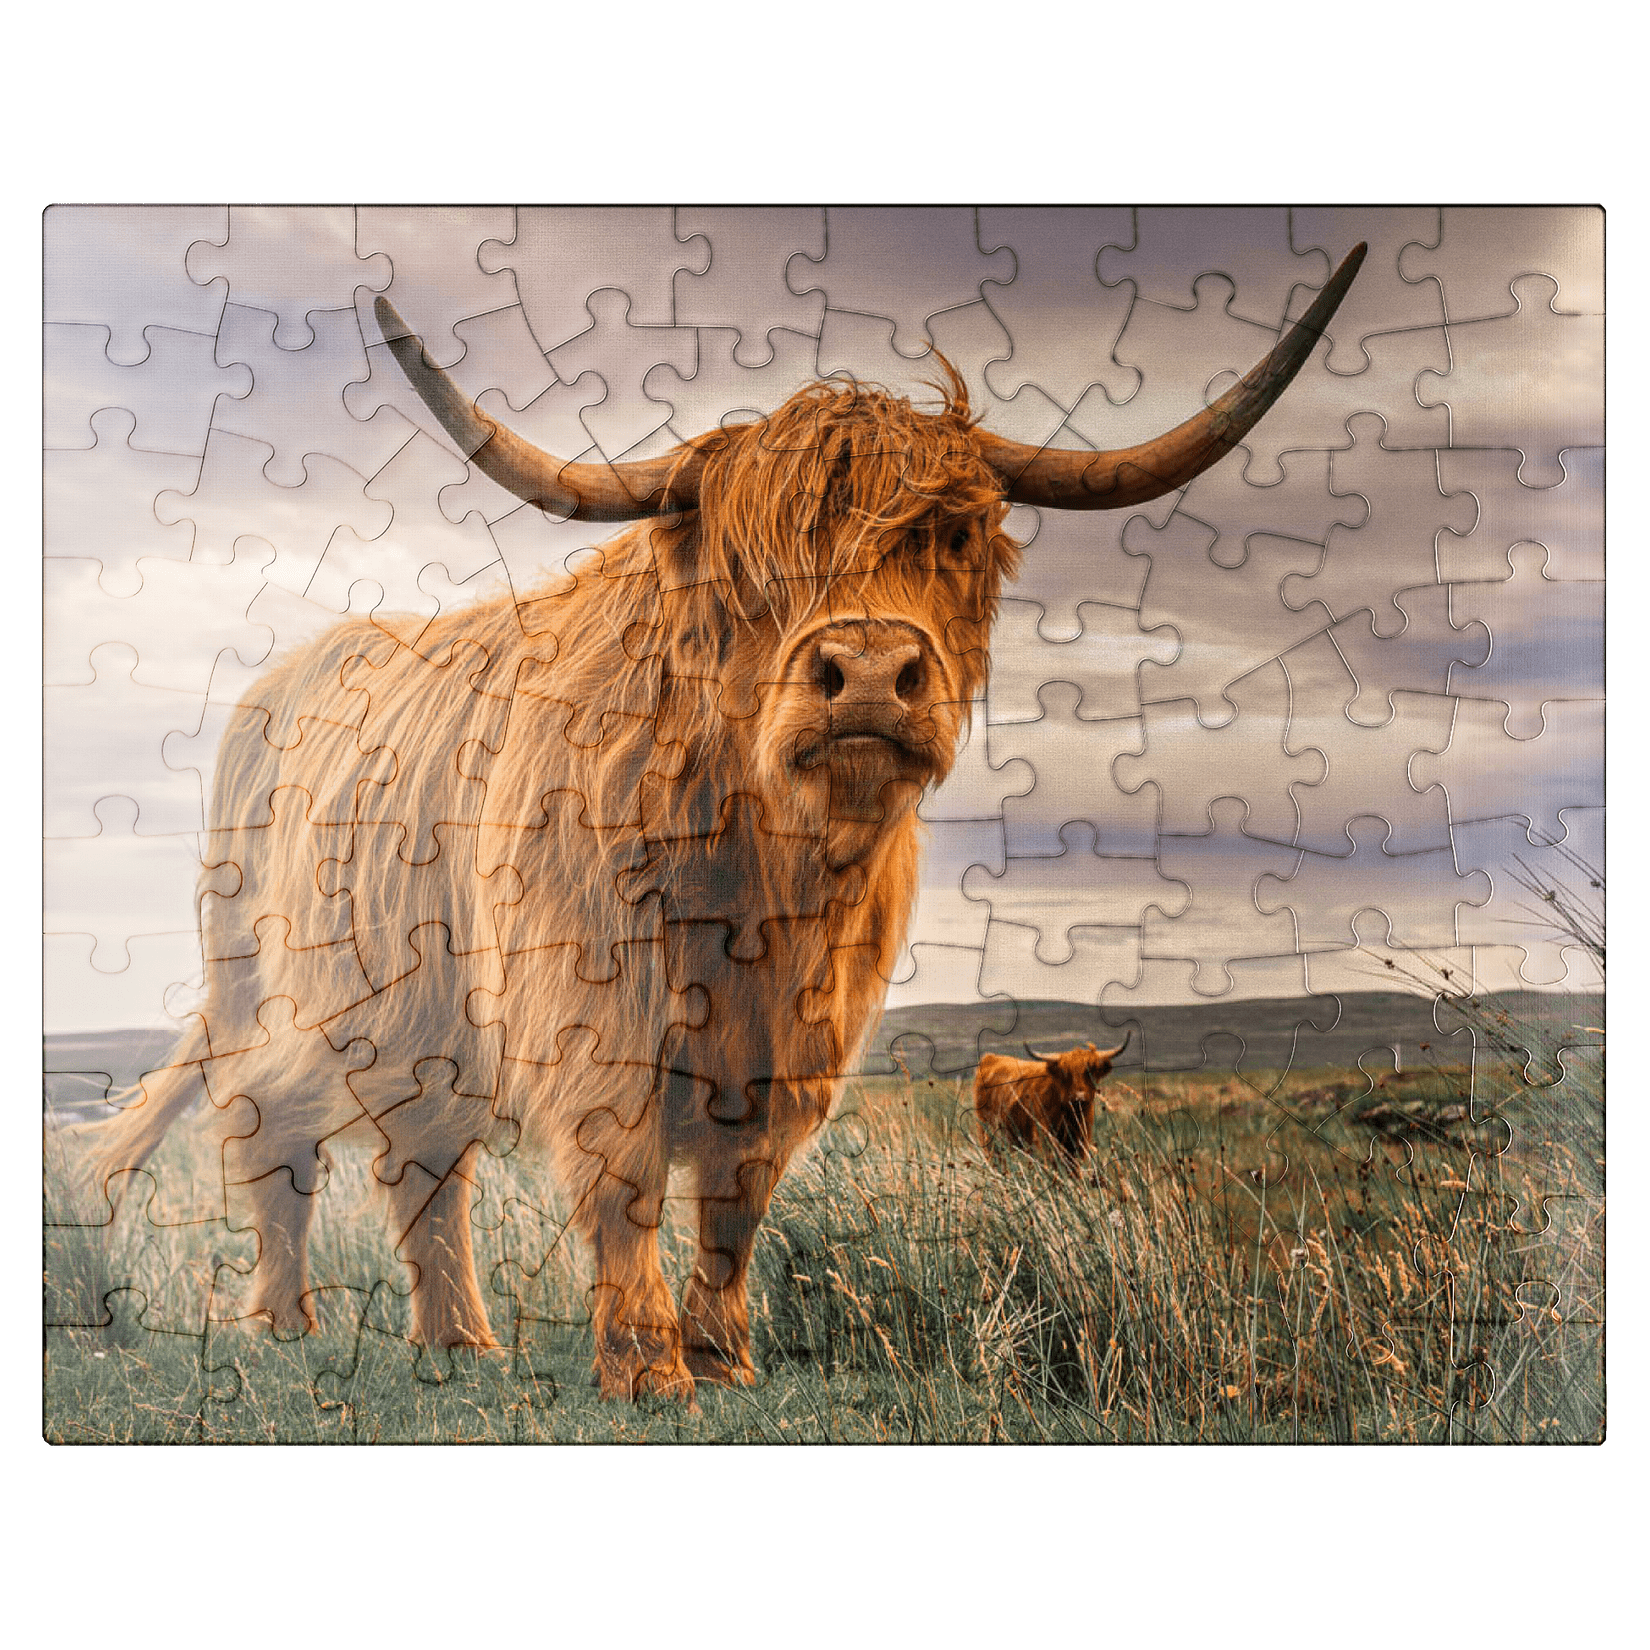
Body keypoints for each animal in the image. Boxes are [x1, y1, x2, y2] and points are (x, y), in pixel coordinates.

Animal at [973, 1035, 1132, 1174]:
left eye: (1091, 1071)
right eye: (1066, 1074)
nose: (1079, 1098)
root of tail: (990, 1058)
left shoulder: (1079, 1145)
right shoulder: (1045, 1142)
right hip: (990, 1137)